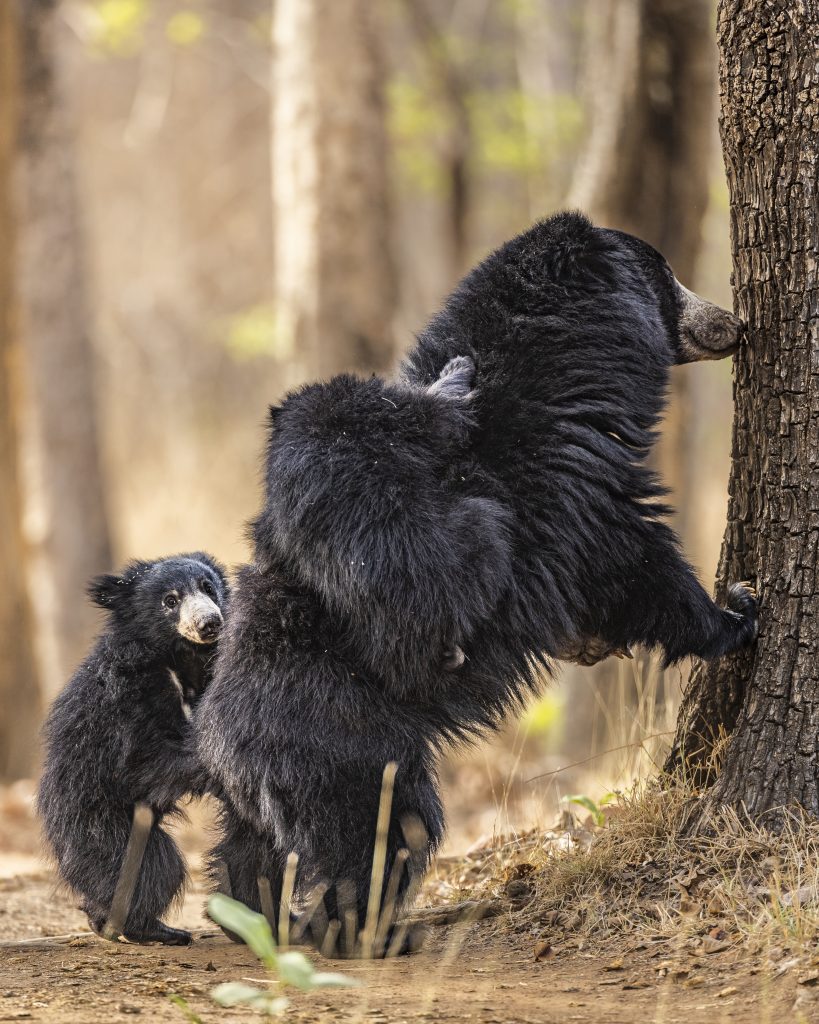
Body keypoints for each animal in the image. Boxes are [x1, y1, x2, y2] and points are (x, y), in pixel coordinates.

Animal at [195, 214, 757, 958]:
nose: (732, 322)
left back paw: (250, 914)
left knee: (250, 852)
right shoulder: (576, 478)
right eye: (667, 276)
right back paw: (367, 930)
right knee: (380, 833)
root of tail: (223, 745)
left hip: (260, 788)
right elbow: (634, 558)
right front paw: (738, 611)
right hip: (350, 745)